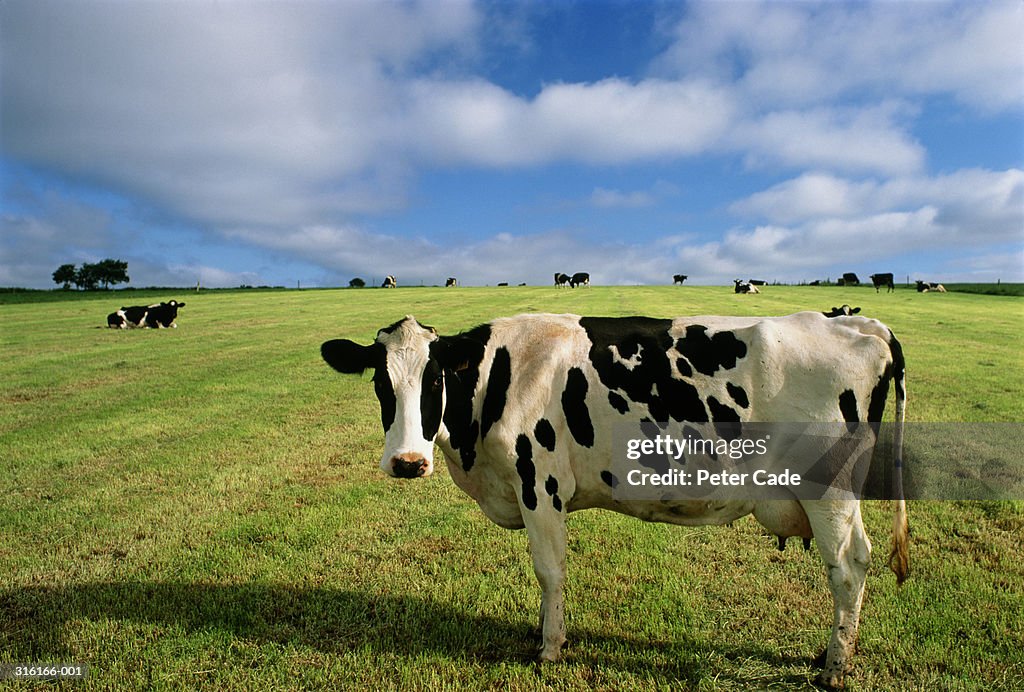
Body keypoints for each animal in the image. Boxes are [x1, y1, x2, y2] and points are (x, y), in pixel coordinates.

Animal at [321, 311, 913, 687]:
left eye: (435, 380)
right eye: (380, 382)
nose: (406, 462)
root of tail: (861, 323)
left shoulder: (539, 483)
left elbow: (550, 570)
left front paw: (550, 646)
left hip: (829, 488)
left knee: (847, 566)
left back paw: (834, 667)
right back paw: (830, 652)